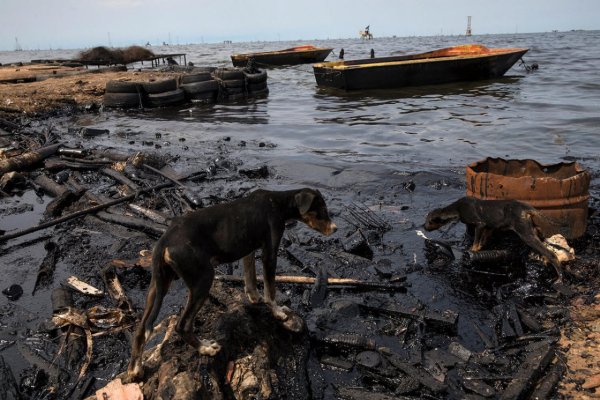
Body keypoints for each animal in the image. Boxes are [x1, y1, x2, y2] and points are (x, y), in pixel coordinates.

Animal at [127, 188, 337, 380]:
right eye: (321, 211)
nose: (335, 229)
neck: (278, 202)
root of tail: (164, 240)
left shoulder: (249, 248)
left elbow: (250, 277)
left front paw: (255, 298)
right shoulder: (269, 253)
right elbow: (270, 289)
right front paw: (278, 312)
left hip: (158, 285)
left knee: (141, 328)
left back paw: (135, 369)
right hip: (203, 280)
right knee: (182, 325)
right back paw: (205, 348)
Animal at [424, 196, 563, 281]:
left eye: (429, 221)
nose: (423, 227)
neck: (457, 209)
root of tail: (526, 207)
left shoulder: (480, 224)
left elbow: (475, 242)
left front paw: (472, 252)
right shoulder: (489, 227)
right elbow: (481, 241)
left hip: (525, 233)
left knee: (551, 254)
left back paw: (559, 278)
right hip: (531, 229)